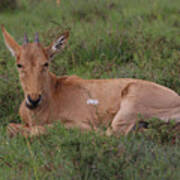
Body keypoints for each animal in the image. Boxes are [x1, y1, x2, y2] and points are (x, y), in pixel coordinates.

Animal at [1, 25, 180, 137]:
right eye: (19, 64)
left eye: (46, 63)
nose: (33, 99)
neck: (54, 93)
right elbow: (10, 127)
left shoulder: (79, 123)